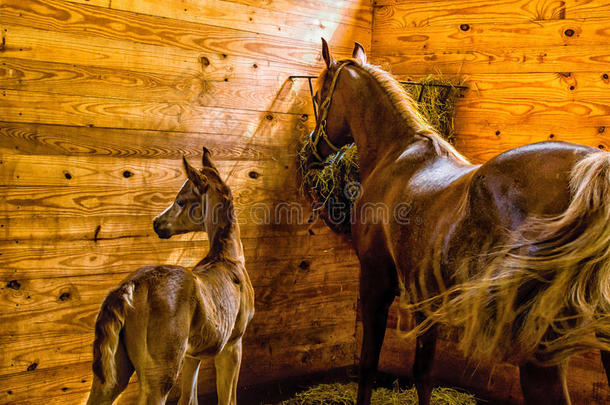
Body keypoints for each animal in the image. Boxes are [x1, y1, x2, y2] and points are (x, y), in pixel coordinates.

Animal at [85, 149, 252, 404]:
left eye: (181, 200)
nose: (156, 223)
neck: (228, 259)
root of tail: (129, 288)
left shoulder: (193, 355)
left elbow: (189, 398)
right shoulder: (233, 345)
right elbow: (227, 399)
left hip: (111, 375)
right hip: (161, 375)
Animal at [312, 38, 608, 404]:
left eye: (319, 96)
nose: (314, 146)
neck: (396, 156)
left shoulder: (375, 278)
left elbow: (368, 366)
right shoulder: (426, 298)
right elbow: (423, 373)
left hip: (541, 355)